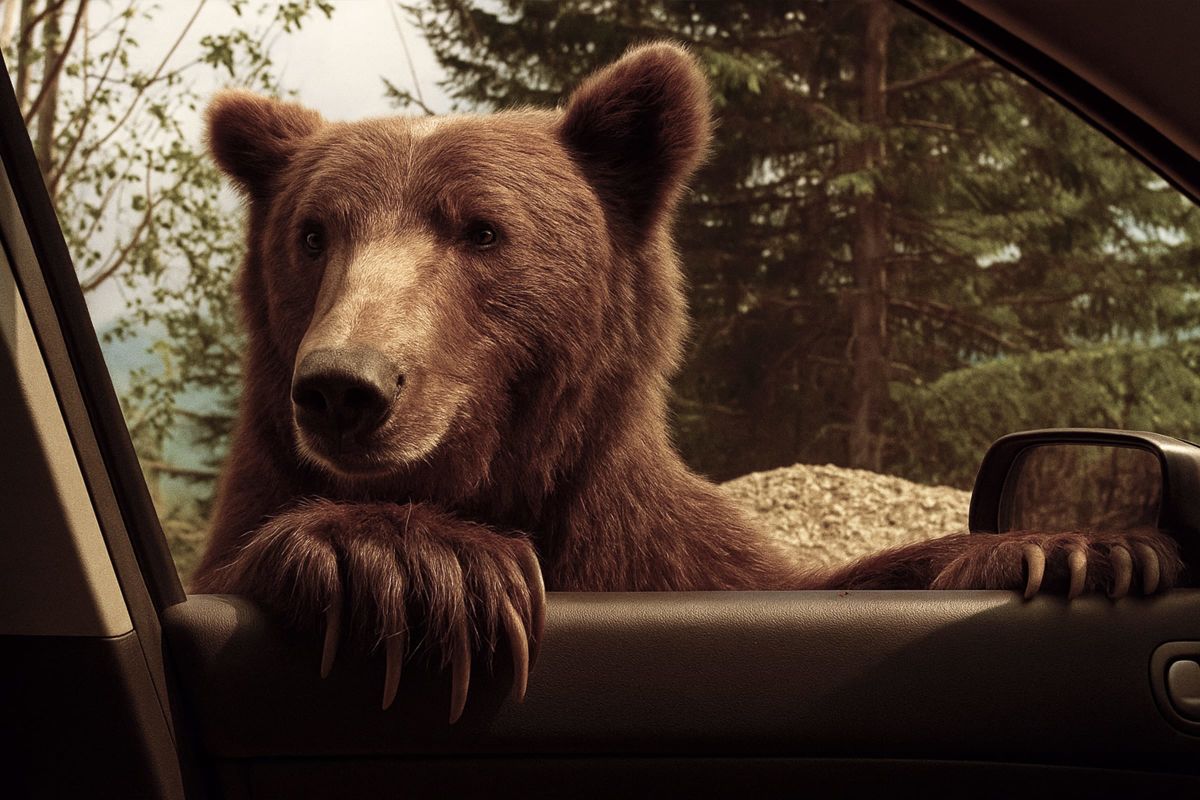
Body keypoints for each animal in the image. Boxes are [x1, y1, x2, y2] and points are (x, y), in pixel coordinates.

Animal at [190, 42, 1184, 723]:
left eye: (480, 228)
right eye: (314, 233)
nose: (345, 387)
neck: (493, 479)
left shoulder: (653, 551)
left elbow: (809, 582)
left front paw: (1076, 547)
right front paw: (417, 561)